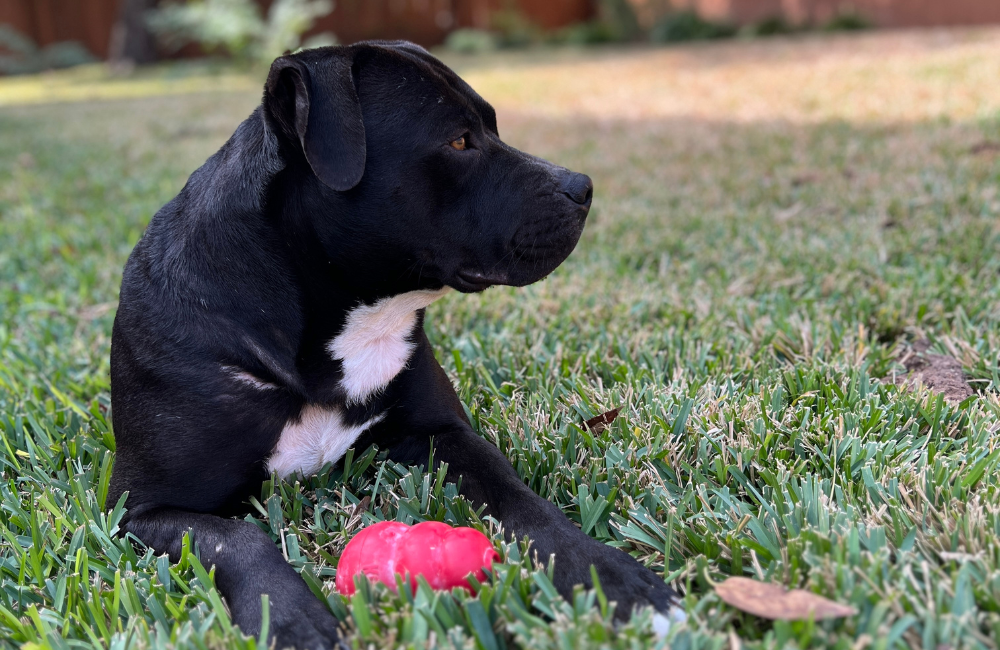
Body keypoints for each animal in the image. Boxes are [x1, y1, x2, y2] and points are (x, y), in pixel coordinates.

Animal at [109, 41, 680, 648]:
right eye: (459, 141)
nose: (583, 187)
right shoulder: (140, 510)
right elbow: (237, 539)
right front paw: (288, 616)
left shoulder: (441, 433)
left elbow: (521, 498)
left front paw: (610, 575)